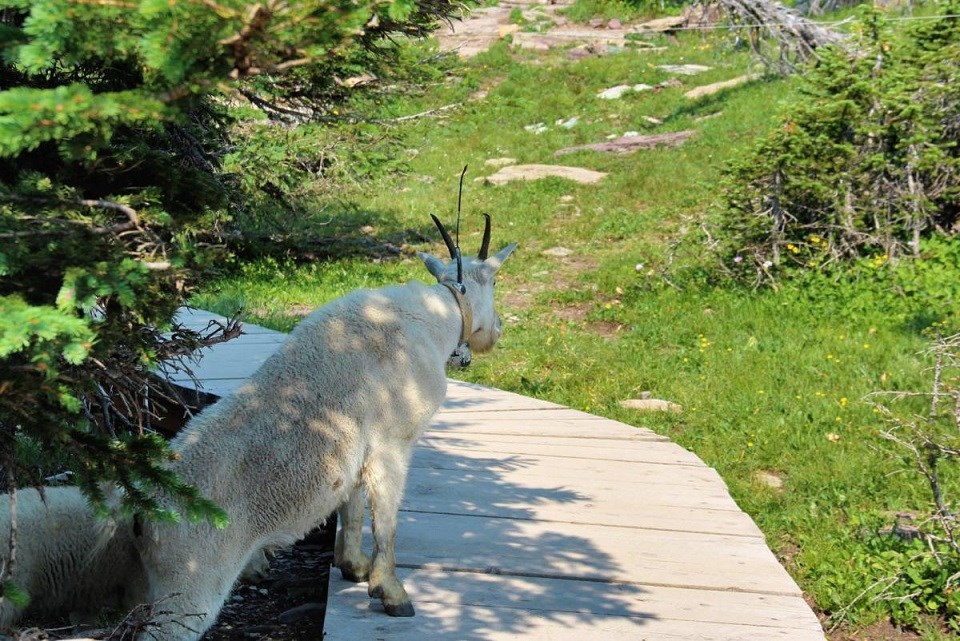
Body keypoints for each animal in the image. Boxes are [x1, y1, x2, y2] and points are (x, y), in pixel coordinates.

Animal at [133, 216, 516, 640]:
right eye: (495, 282)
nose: (496, 331)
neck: (435, 317)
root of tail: (136, 510)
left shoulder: (358, 450)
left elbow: (352, 508)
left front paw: (353, 566)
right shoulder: (393, 444)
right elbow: (385, 520)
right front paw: (392, 593)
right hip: (189, 586)